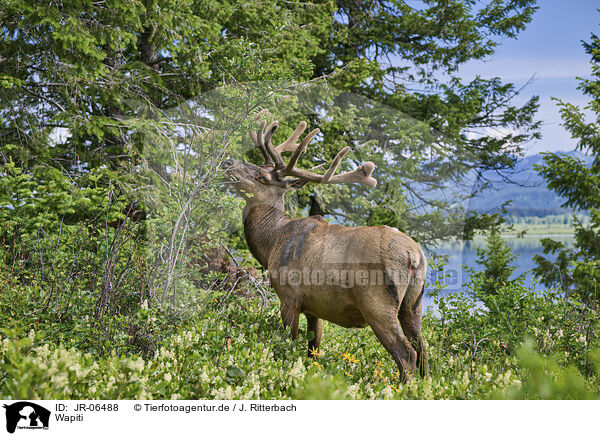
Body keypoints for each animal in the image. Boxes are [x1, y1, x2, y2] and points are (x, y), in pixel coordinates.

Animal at [223, 114, 428, 380]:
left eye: (262, 177)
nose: (227, 161)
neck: (271, 243)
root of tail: (414, 255)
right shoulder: (315, 307)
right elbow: (314, 350)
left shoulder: (289, 296)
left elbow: (288, 344)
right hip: (414, 303)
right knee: (422, 349)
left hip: (377, 303)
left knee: (406, 353)